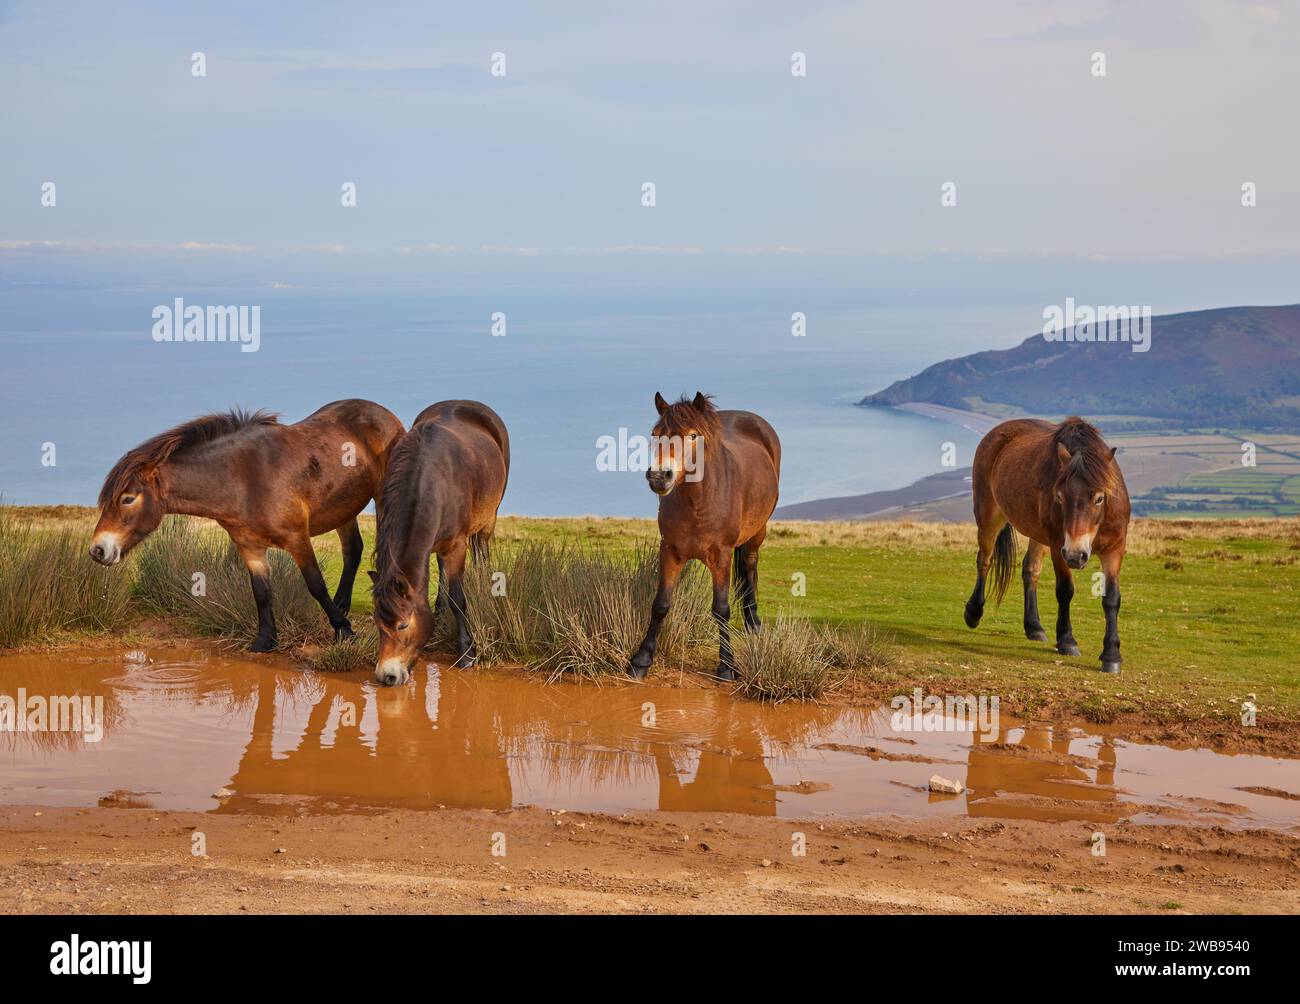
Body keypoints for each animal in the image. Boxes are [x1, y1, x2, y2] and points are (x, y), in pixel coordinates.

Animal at [90, 399, 403, 651]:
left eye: (128, 499)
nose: (98, 550)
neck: (244, 479)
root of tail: (382, 413)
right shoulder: (249, 546)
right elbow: (261, 592)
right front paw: (266, 640)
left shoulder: (297, 539)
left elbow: (315, 584)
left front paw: (343, 630)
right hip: (343, 510)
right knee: (352, 550)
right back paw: (342, 603)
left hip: (382, 499)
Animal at [369, 400, 510, 686]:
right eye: (378, 623)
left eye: (402, 625)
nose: (387, 676)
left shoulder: (456, 547)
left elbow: (458, 599)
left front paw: (467, 653)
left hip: (488, 521)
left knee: (482, 556)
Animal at [630, 392, 781, 681]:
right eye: (655, 434)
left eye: (692, 435)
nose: (659, 476)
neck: (698, 503)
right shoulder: (670, 551)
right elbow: (660, 604)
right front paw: (641, 660)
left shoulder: (721, 555)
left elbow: (720, 609)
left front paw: (726, 666)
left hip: (758, 532)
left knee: (750, 565)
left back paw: (753, 624)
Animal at [963, 416, 1131, 673]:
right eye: (1059, 496)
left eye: (1099, 498)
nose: (1076, 555)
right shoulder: (1058, 547)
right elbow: (1065, 590)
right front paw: (1067, 641)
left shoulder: (1114, 549)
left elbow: (1111, 598)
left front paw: (1111, 655)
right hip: (989, 514)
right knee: (985, 559)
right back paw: (973, 612)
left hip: (1037, 536)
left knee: (1030, 570)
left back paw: (1034, 626)